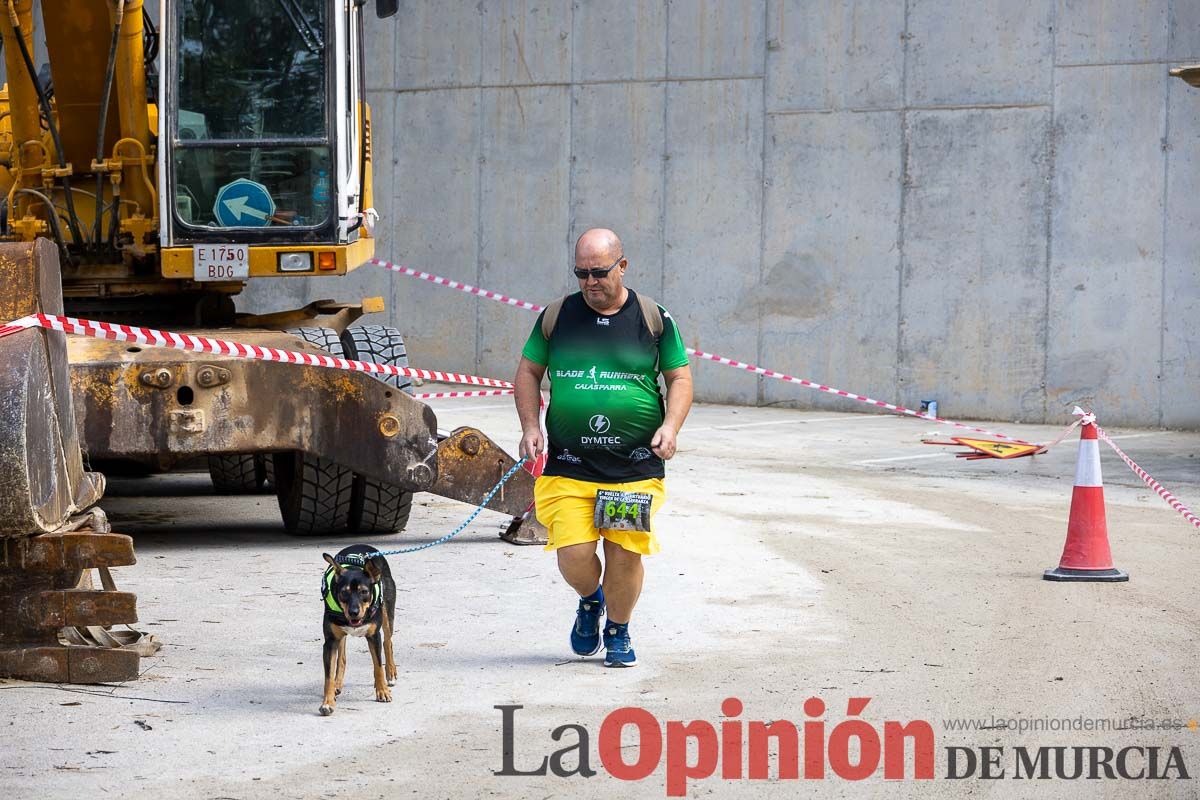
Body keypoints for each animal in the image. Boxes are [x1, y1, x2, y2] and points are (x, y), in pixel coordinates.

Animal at [319, 546, 398, 714]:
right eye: (344, 592)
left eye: (364, 592)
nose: (354, 612)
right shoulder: (330, 642)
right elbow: (328, 676)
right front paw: (327, 702)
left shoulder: (374, 636)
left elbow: (378, 666)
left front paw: (382, 691)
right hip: (340, 635)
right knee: (342, 658)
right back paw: (338, 683)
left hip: (387, 613)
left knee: (388, 642)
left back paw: (390, 673)